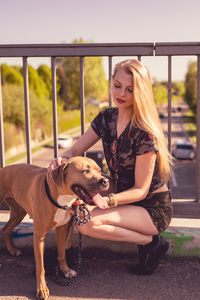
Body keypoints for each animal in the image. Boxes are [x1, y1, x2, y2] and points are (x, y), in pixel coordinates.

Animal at [0, 158, 109, 298]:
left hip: (18, 212)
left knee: (5, 230)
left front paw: (65, 270)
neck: (63, 198)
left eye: (100, 170)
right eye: (86, 171)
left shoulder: (61, 230)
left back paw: (12, 250)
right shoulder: (39, 236)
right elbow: (40, 267)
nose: (106, 181)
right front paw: (41, 289)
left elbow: (62, 253)